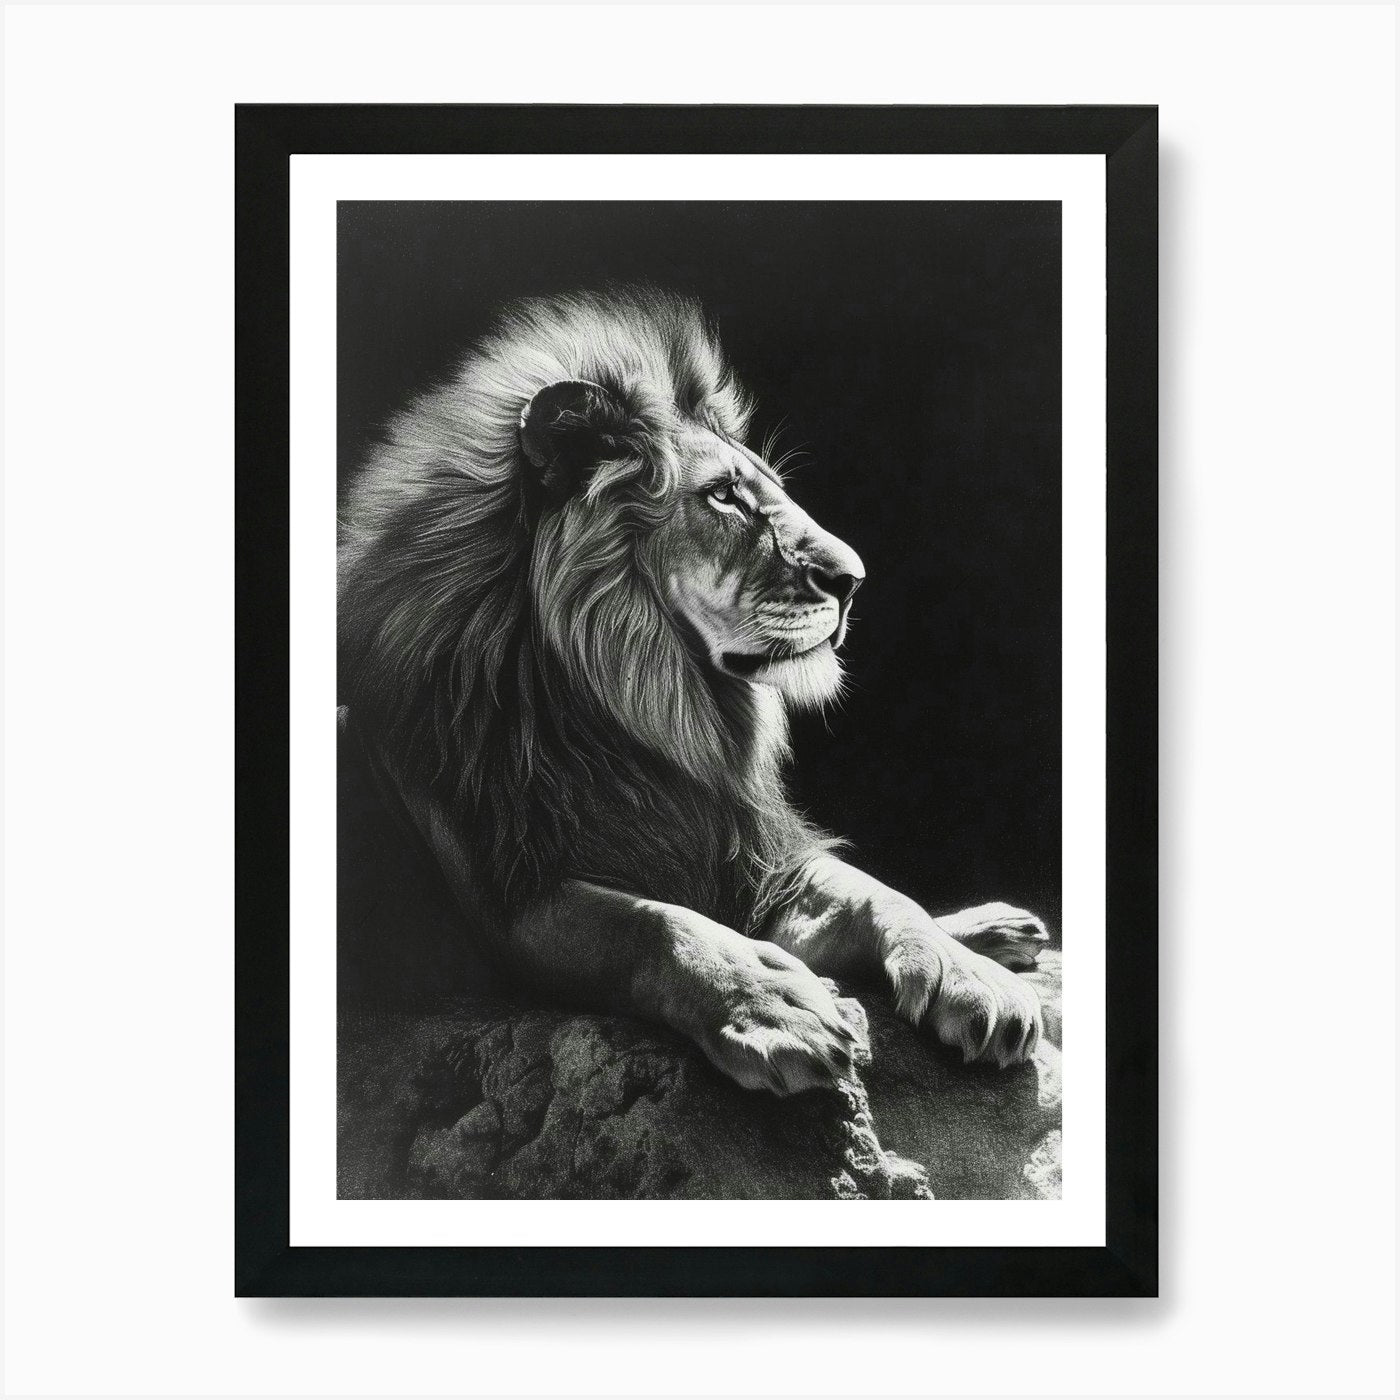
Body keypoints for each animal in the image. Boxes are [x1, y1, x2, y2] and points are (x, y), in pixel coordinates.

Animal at [338, 285, 1048, 1096]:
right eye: (724, 498)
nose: (853, 578)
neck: (646, 712)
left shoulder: (752, 859)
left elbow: (874, 890)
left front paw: (969, 976)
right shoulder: (510, 905)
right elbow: (652, 924)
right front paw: (774, 1005)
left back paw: (996, 932)